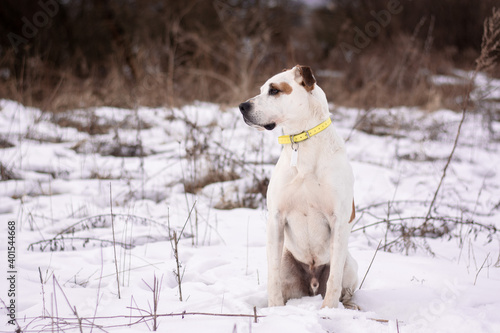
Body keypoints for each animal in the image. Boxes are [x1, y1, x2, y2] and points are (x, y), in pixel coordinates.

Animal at [239, 65, 360, 308]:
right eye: (261, 89)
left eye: (274, 90)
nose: (242, 106)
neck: (302, 142)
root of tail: (312, 285)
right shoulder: (276, 219)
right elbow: (272, 276)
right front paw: (275, 309)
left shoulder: (339, 220)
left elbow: (334, 281)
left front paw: (328, 311)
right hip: (288, 264)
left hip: (350, 265)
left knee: (343, 285)